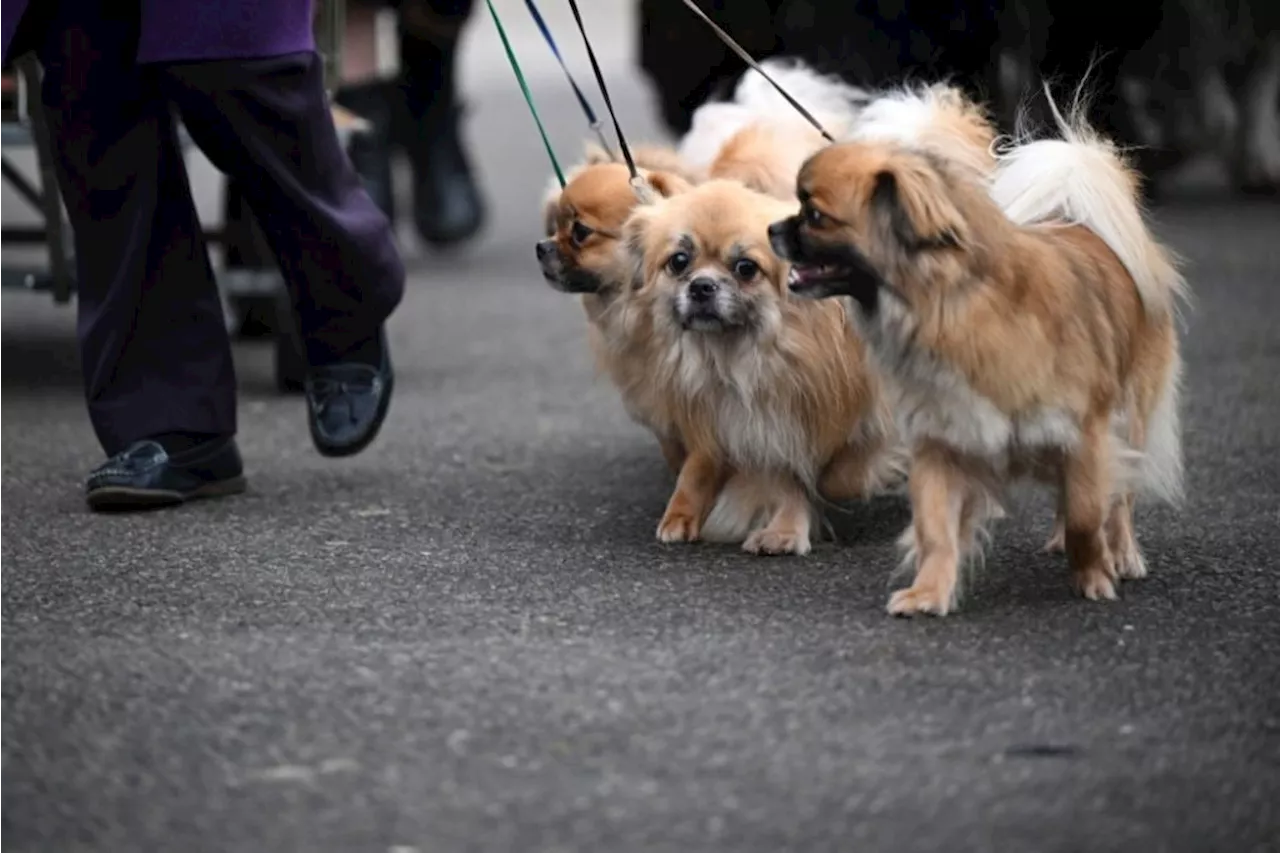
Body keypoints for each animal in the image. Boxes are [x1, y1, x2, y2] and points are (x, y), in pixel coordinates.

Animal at [762, 104, 1182, 612]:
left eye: (815, 215)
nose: (772, 228)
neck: (950, 306)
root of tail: (1082, 224)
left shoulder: (1084, 433)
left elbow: (1087, 513)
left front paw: (1094, 576)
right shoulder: (942, 439)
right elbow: (936, 529)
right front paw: (928, 593)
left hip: (1130, 415)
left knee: (1119, 498)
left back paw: (1121, 553)